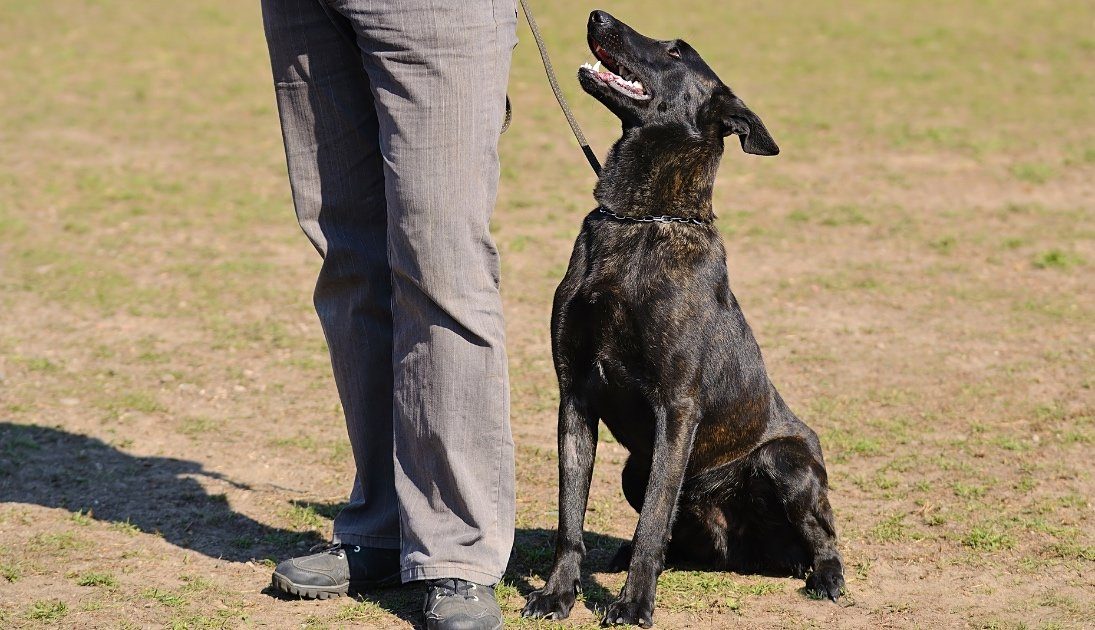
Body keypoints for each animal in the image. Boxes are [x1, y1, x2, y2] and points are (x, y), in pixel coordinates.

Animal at [521, 8, 845, 626]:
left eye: (675, 52)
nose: (597, 14)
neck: (640, 220)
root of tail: (747, 556)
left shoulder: (676, 407)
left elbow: (653, 520)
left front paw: (632, 606)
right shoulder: (574, 397)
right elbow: (570, 518)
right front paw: (557, 593)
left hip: (784, 462)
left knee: (824, 536)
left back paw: (826, 576)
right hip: (634, 467)